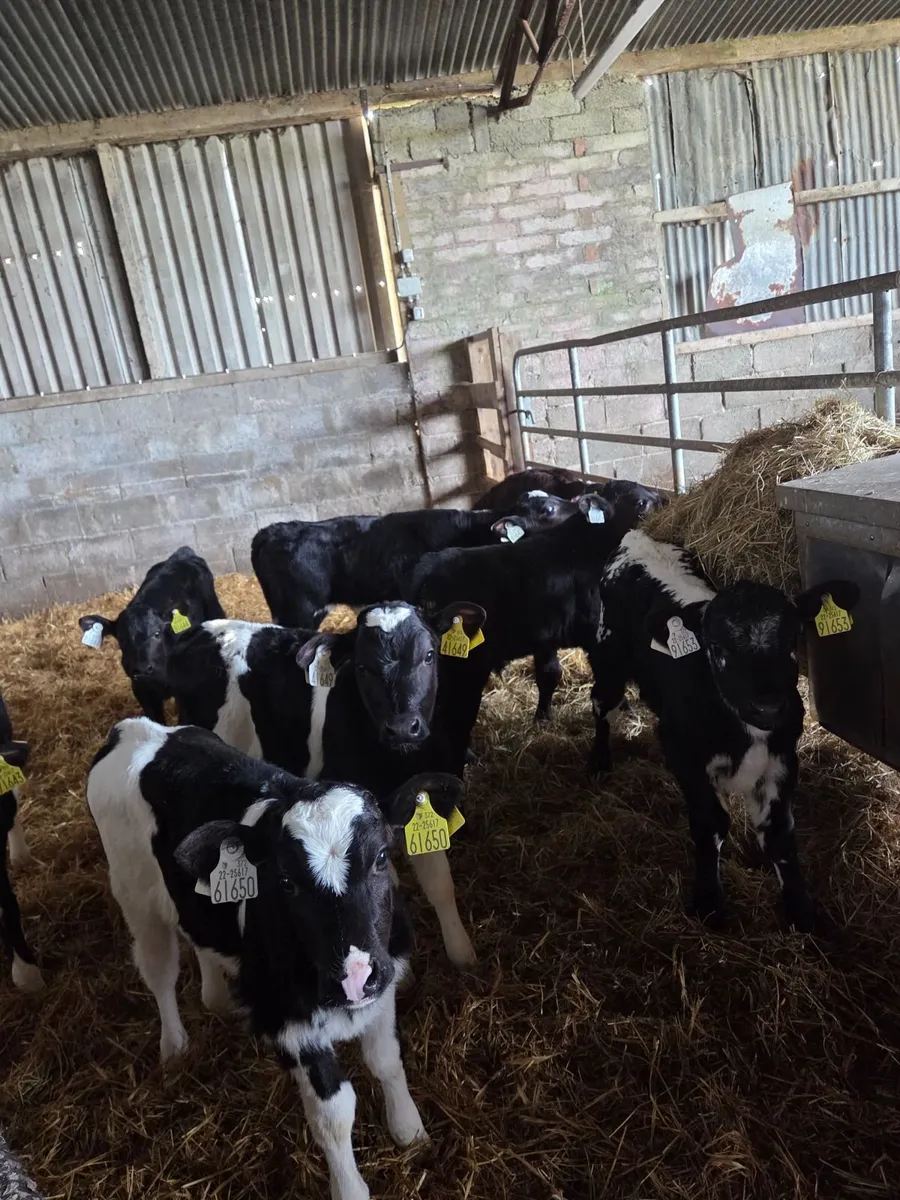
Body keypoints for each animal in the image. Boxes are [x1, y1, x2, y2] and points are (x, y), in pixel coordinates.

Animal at [87, 717, 462, 1200]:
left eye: (382, 857)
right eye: (285, 881)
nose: (354, 977)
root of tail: (135, 728)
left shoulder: (385, 982)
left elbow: (386, 1060)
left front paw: (409, 1130)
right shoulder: (290, 1022)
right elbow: (334, 1112)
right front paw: (350, 1187)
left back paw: (217, 998)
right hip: (134, 895)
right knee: (159, 971)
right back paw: (174, 1047)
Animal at [165, 601, 484, 968]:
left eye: (429, 655)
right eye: (362, 667)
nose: (403, 727)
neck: (393, 763)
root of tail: (198, 632)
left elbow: (440, 884)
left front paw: (462, 953)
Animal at [589, 528, 860, 931]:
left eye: (792, 637)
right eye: (716, 647)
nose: (768, 706)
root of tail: (637, 536)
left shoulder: (782, 759)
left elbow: (778, 833)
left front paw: (801, 909)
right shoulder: (685, 756)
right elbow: (710, 824)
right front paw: (709, 901)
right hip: (608, 657)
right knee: (600, 704)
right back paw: (598, 760)